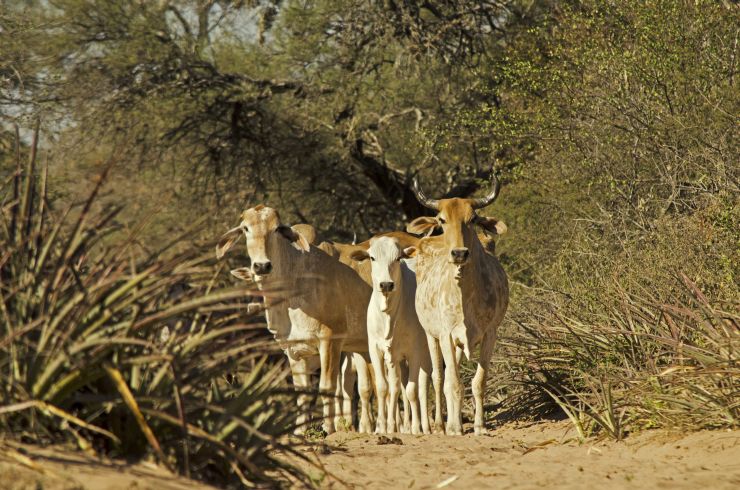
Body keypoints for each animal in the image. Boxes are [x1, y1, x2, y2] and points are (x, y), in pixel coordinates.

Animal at [217, 206, 372, 432]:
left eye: (276, 229)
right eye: (245, 228)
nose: (262, 266)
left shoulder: (330, 341)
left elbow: (328, 387)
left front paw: (328, 428)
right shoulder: (294, 351)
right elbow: (303, 394)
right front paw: (300, 431)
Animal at [404, 172, 508, 436]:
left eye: (473, 219)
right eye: (442, 219)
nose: (459, 253)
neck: (466, 296)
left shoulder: (490, 334)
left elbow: (478, 381)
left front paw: (480, 426)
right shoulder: (446, 335)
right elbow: (451, 382)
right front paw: (453, 427)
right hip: (431, 336)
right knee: (439, 377)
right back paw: (441, 424)